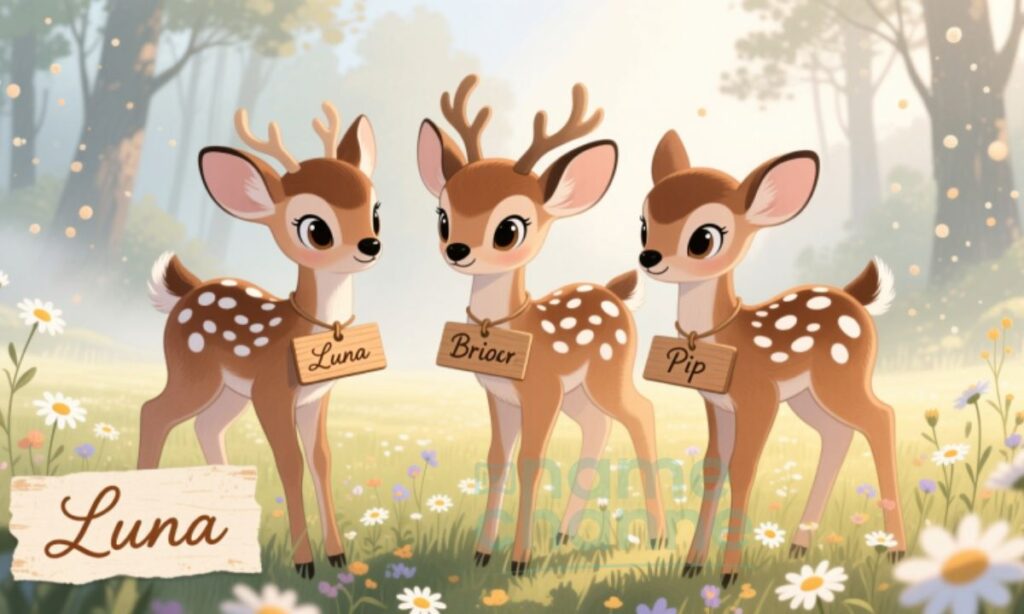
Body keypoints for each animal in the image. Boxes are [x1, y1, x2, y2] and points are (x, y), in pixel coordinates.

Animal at [138, 101, 381, 579]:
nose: (371, 243)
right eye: (315, 229)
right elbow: (289, 463)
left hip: (231, 391)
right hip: (194, 373)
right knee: (152, 413)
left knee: (206, 426)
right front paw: (304, 563)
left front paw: (337, 556)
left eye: (375, 209)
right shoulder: (272, 392)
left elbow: (321, 461)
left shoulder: (316, 398)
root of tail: (186, 292)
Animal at [416, 74, 667, 576]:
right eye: (442, 216)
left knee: (642, 413)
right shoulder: (499, 396)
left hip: (607, 374)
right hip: (578, 394)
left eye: (509, 229)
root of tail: (616, 292)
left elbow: (530, 461)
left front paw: (518, 562)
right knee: (598, 428)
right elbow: (497, 460)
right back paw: (564, 533)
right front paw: (482, 553)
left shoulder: (542, 390)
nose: (456, 249)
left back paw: (657, 536)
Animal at [638, 131, 904, 588]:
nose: (649, 257)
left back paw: (896, 549)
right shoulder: (717, 405)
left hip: (843, 378)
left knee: (881, 417)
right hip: (806, 397)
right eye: (643, 225)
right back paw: (799, 544)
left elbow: (744, 468)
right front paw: (693, 565)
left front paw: (729, 574)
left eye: (703, 238)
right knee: (838, 436)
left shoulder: (757, 397)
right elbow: (713, 466)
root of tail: (856, 297)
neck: (728, 338)